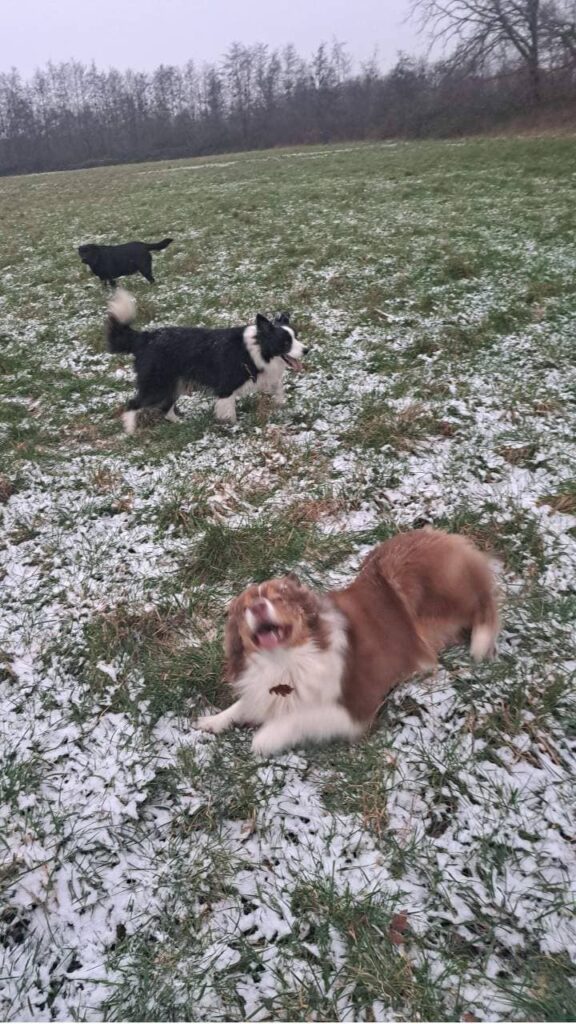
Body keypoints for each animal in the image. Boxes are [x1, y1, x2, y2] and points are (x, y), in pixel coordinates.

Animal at [105, 292, 307, 432]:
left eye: (296, 337)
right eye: (285, 342)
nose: (306, 350)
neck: (259, 348)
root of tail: (145, 338)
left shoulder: (266, 375)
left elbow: (278, 388)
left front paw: (281, 406)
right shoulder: (226, 387)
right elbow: (229, 413)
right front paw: (232, 428)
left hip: (174, 383)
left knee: (165, 408)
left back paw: (180, 423)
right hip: (156, 385)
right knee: (133, 403)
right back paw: (130, 431)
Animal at [193, 532, 498, 757]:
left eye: (278, 598)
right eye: (245, 608)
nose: (257, 607)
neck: (285, 659)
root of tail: (444, 536)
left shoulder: (357, 707)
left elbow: (299, 717)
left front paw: (265, 737)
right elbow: (245, 703)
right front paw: (214, 720)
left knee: (484, 600)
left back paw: (480, 639)